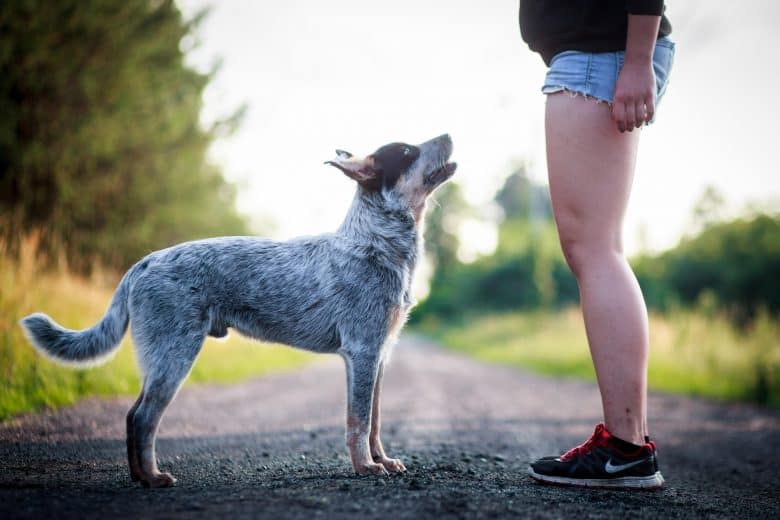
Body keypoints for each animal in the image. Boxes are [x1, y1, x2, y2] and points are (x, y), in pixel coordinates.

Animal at [19, 133, 458, 488]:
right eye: (407, 151)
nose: (449, 134)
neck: (376, 244)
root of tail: (143, 263)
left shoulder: (380, 355)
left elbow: (376, 421)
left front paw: (383, 459)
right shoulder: (363, 352)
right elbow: (359, 421)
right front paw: (365, 467)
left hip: (161, 358)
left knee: (132, 417)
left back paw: (141, 477)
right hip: (174, 355)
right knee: (142, 418)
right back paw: (154, 478)